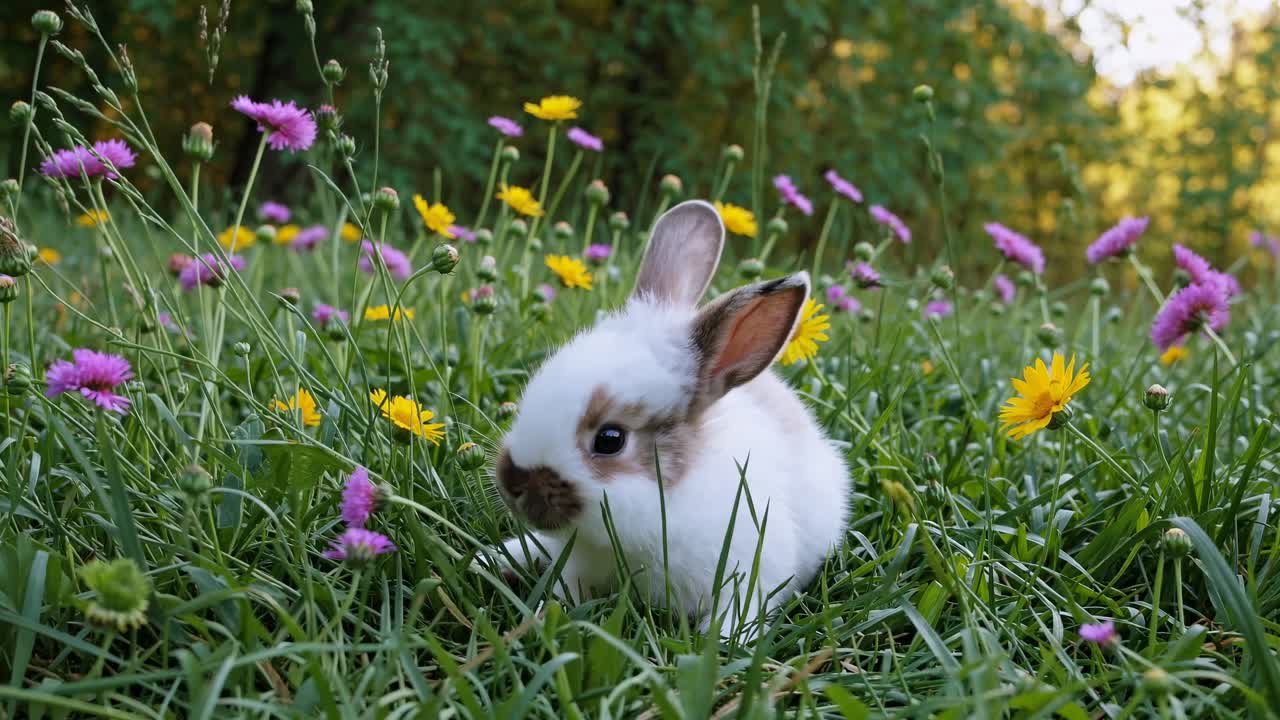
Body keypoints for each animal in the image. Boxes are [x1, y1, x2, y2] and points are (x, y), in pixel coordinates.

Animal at [488, 199, 851, 637]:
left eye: (610, 439)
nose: (511, 483)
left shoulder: (752, 572)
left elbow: (738, 613)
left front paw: (722, 643)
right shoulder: (579, 562)